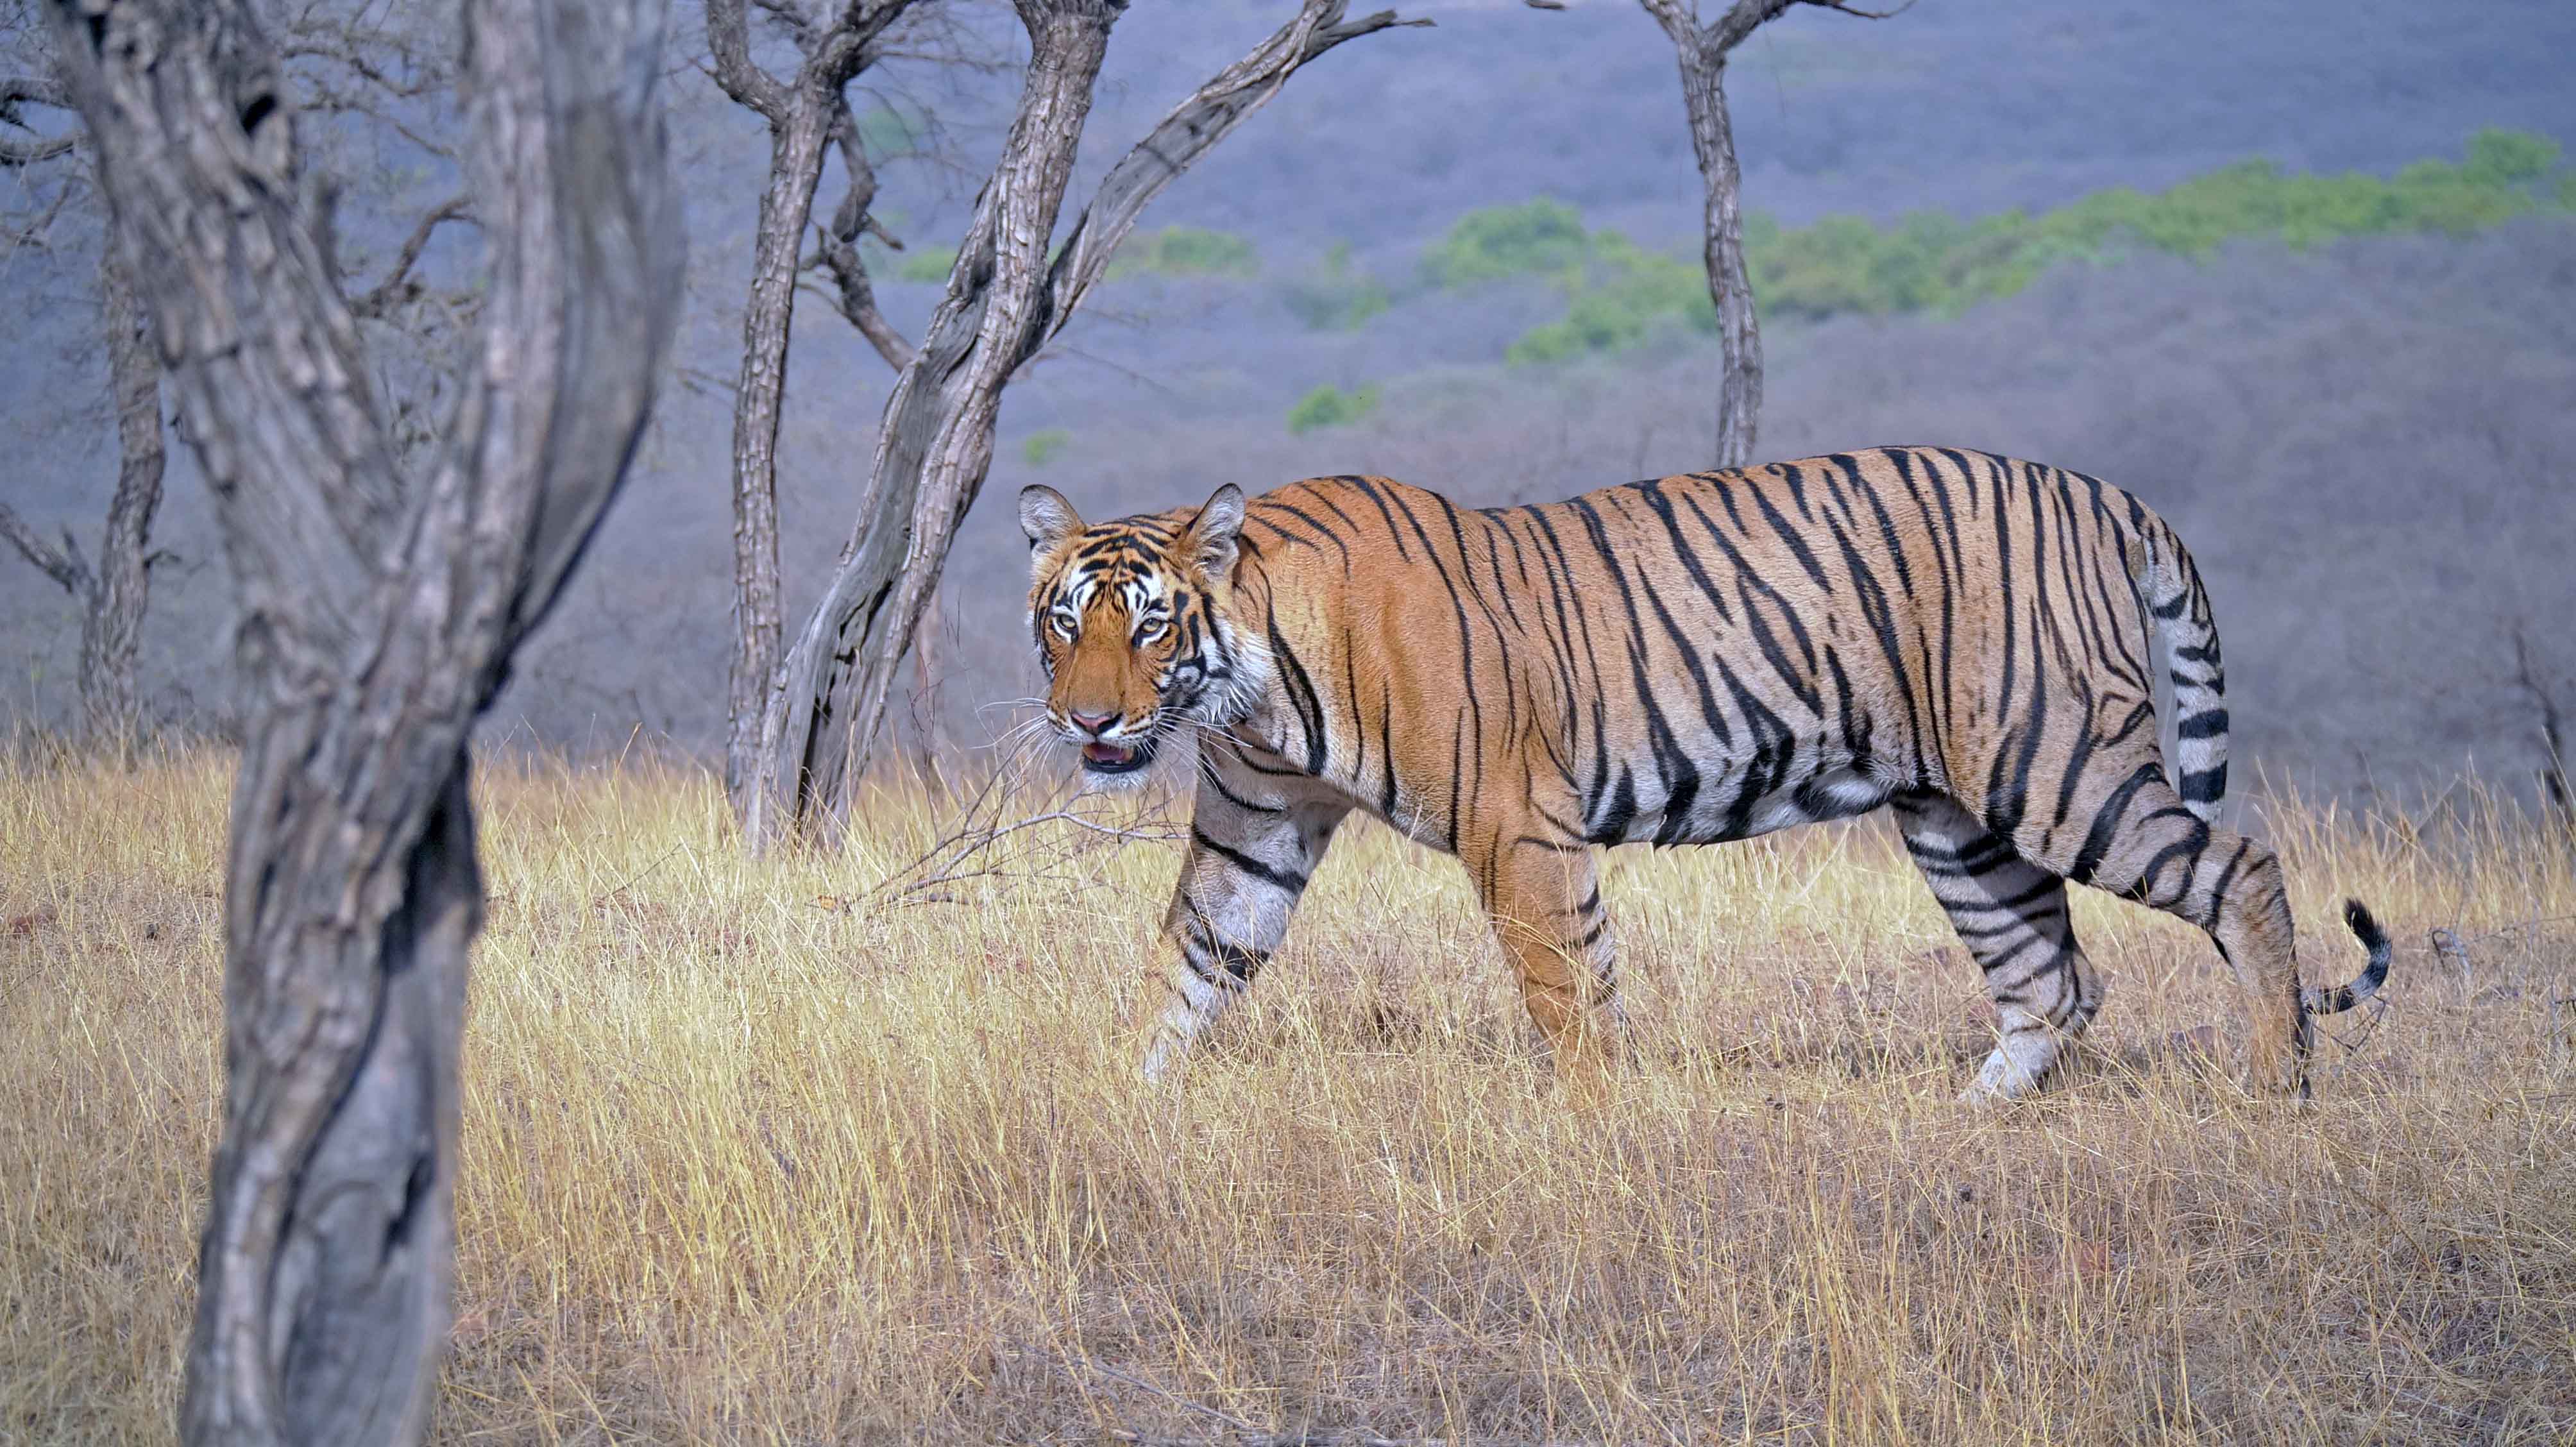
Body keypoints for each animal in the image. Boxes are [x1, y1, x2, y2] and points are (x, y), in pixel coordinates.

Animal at [1015, 445, 2380, 1097]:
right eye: (1063, 621)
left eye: (1151, 625)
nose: (1087, 723)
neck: (1253, 685)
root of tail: (2096, 489)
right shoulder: (1254, 835)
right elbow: (1186, 969)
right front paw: (1122, 1109)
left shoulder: (1519, 826)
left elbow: (1571, 993)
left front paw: (1597, 1130)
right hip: (1956, 820)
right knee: (2054, 976)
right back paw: (1964, 1122)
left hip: (2054, 766)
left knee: (2239, 871)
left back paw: (2275, 1086)